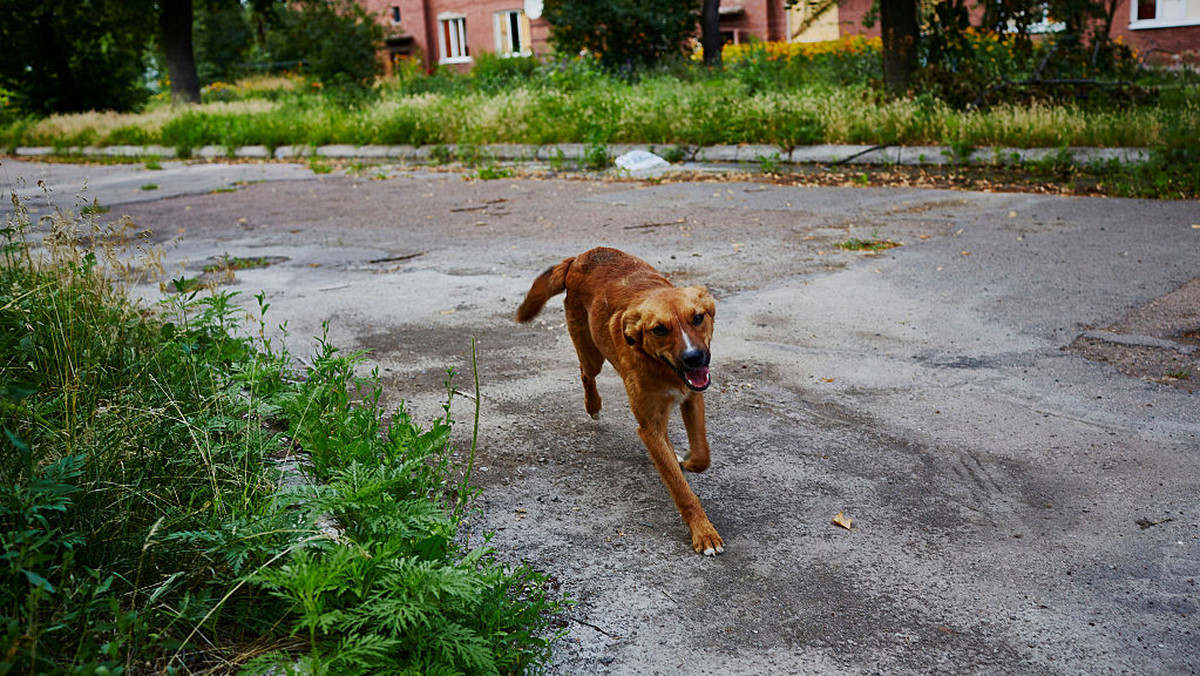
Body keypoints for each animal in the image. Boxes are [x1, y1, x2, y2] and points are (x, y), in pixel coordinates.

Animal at [516, 247, 720, 554]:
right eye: (659, 329)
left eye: (697, 318)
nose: (694, 358)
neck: (663, 368)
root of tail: (580, 257)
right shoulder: (650, 428)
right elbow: (680, 488)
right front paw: (703, 532)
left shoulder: (692, 397)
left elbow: (701, 454)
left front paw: (684, 460)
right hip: (591, 353)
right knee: (585, 373)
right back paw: (594, 407)